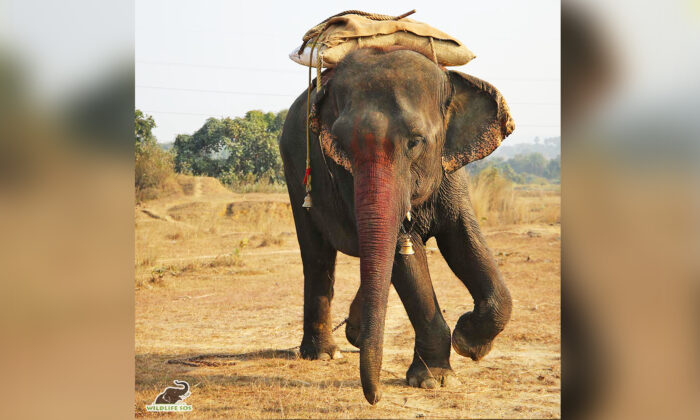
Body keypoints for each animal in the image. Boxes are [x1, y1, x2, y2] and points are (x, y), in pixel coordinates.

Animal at [279, 47, 514, 405]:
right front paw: (434, 379)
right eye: (339, 147)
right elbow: (407, 255)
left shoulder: (451, 173)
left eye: (415, 142)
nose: (374, 397)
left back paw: (354, 335)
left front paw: (467, 343)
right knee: (317, 257)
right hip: (293, 174)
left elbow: (463, 241)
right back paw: (323, 354)